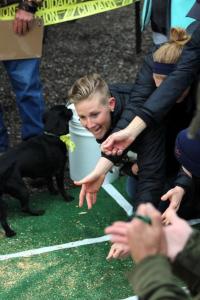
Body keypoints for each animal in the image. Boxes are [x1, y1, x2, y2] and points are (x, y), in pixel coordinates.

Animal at [0, 105, 73, 237]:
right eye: (66, 110)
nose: (71, 109)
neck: (51, 135)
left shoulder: (48, 170)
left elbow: (49, 182)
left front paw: (53, 192)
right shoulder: (59, 170)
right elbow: (61, 187)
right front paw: (67, 198)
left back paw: (9, 232)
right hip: (22, 189)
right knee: (23, 208)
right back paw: (36, 213)